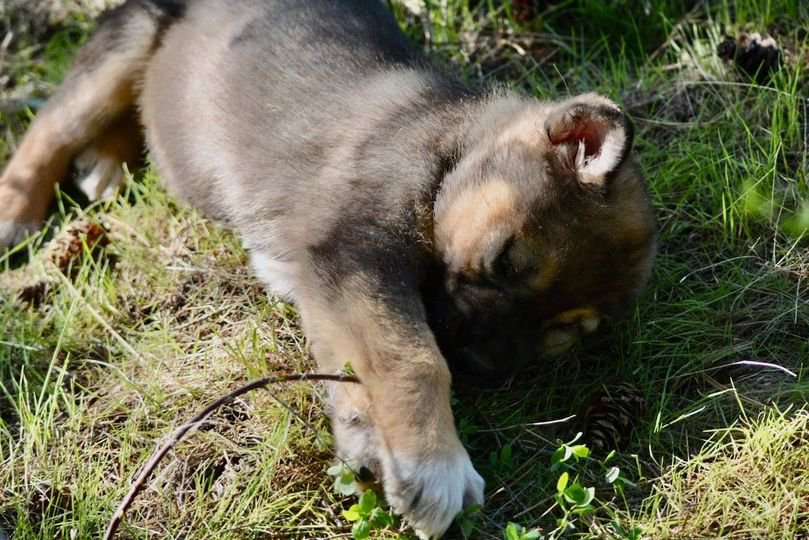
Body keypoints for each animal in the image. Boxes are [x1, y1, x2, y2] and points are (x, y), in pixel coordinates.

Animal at [0, 2, 656, 536]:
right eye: (506, 258)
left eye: (563, 333)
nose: (476, 364)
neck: (448, 150)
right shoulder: (354, 253)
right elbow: (413, 357)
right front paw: (436, 465)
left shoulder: (330, 284)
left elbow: (353, 367)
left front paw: (369, 447)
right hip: (126, 38)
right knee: (51, 126)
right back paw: (19, 208)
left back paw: (106, 163)